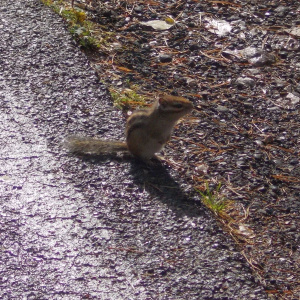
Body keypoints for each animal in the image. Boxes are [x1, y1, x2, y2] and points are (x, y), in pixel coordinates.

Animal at [64, 95, 193, 162]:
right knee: (141, 158)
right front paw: (162, 140)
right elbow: (155, 135)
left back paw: (159, 157)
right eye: (178, 105)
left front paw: (168, 140)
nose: (192, 106)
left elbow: (168, 135)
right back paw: (150, 162)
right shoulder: (153, 128)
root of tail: (128, 147)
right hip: (142, 150)